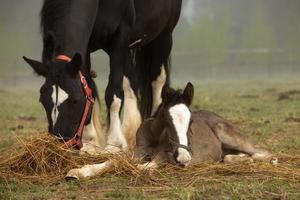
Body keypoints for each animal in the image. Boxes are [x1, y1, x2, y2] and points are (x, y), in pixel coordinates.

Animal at [23, 0, 182, 153]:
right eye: (41, 100)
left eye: (75, 100)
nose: (60, 143)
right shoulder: (86, 48)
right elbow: (90, 89)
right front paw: (90, 142)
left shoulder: (120, 36)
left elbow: (113, 93)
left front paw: (115, 143)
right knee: (131, 81)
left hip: (164, 37)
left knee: (158, 80)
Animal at [135, 83, 278, 169]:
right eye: (167, 121)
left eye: (191, 121)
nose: (184, 158)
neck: (154, 138)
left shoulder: (169, 156)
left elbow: (151, 163)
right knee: (231, 156)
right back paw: (245, 159)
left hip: (230, 137)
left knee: (259, 151)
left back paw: (271, 160)